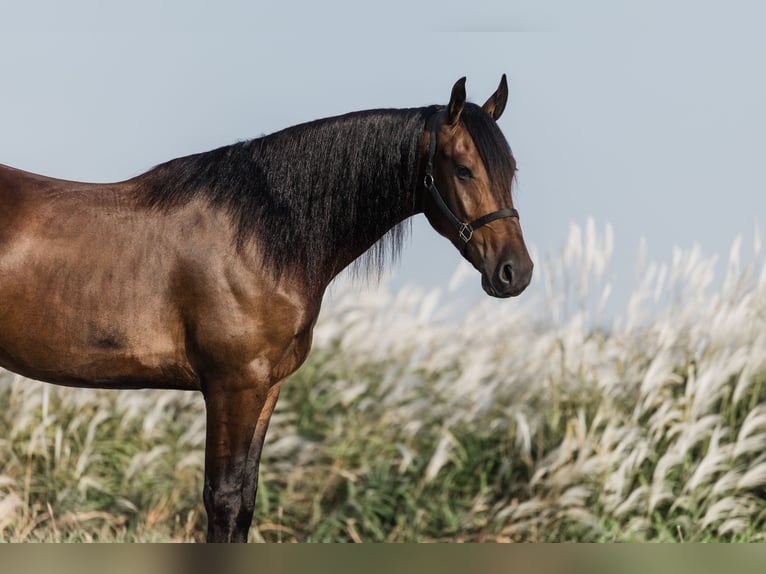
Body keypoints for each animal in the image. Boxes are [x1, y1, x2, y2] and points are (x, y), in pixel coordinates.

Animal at [0, 76, 533, 542]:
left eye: (511, 170)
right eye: (462, 168)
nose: (516, 272)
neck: (259, 236)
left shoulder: (266, 387)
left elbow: (246, 501)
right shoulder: (232, 386)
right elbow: (223, 500)